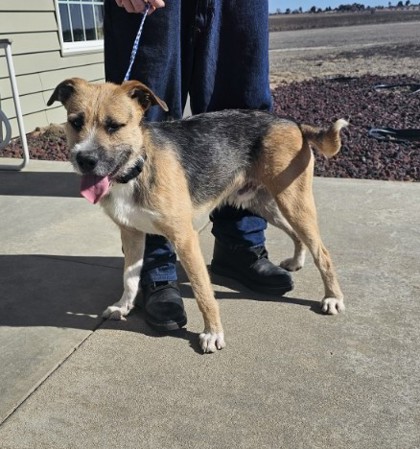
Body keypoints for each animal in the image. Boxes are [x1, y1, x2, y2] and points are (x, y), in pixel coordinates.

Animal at [47, 79, 346, 354]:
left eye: (114, 126)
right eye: (75, 122)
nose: (84, 159)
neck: (137, 166)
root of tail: (294, 123)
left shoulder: (185, 238)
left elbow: (203, 292)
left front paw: (213, 333)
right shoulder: (132, 234)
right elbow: (129, 278)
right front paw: (123, 306)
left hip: (293, 202)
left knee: (323, 253)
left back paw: (333, 298)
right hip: (264, 204)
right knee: (297, 236)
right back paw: (296, 262)